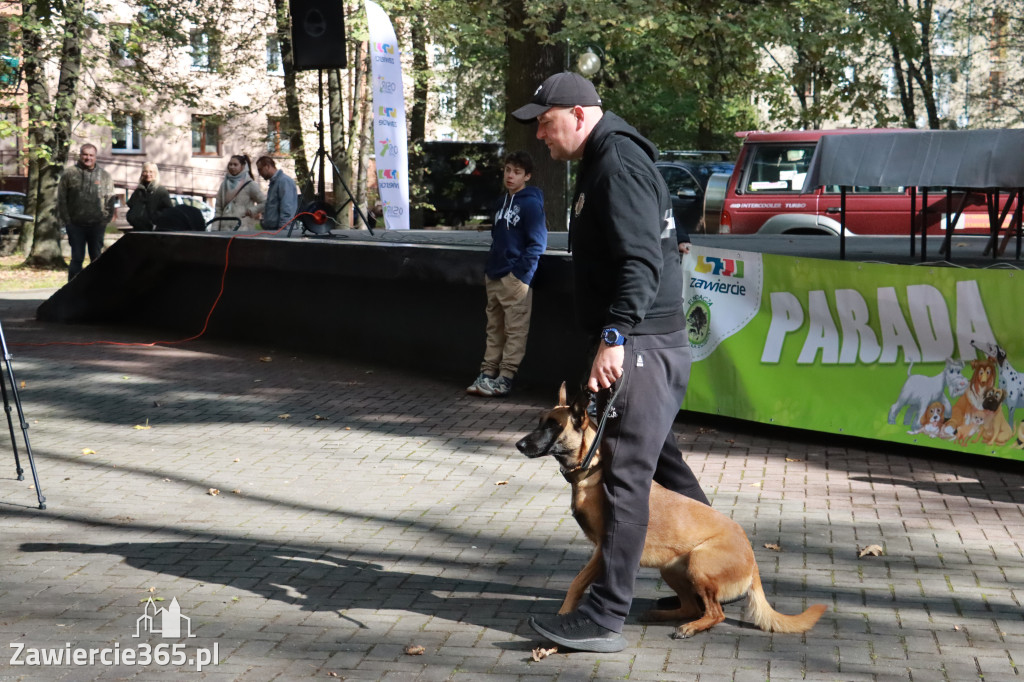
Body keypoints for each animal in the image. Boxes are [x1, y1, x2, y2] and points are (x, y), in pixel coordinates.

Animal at [516, 382, 827, 638]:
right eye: (539, 422)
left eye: (553, 426)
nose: (519, 444)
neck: (593, 468)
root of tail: (753, 562)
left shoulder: (604, 546)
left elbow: (578, 582)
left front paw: (565, 613)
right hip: (672, 568)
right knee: (693, 606)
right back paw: (661, 614)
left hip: (698, 562)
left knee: (715, 613)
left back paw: (690, 628)